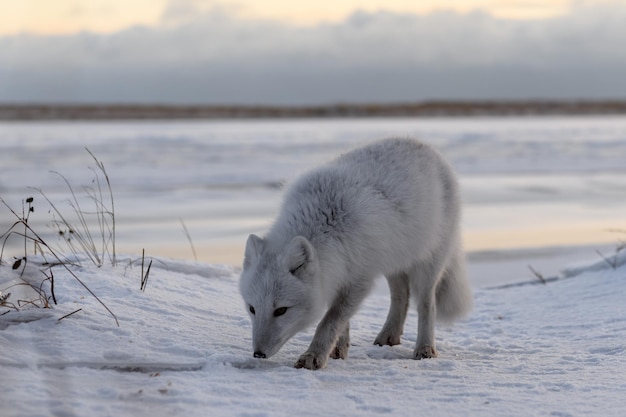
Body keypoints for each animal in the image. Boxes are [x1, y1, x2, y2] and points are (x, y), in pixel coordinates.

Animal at [238, 138, 468, 368]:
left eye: (281, 310)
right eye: (252, 309)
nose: (258, 354)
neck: (326, 226)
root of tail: (423, 144)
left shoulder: (359, 280)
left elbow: (330, 320)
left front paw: (314, 356)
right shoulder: (336, 274)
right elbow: (341, 321)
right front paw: (338, 349)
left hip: (427, 265)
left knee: (426, 304)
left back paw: (425, 348)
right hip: (392, 262)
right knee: (401, 296)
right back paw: (389, 336)